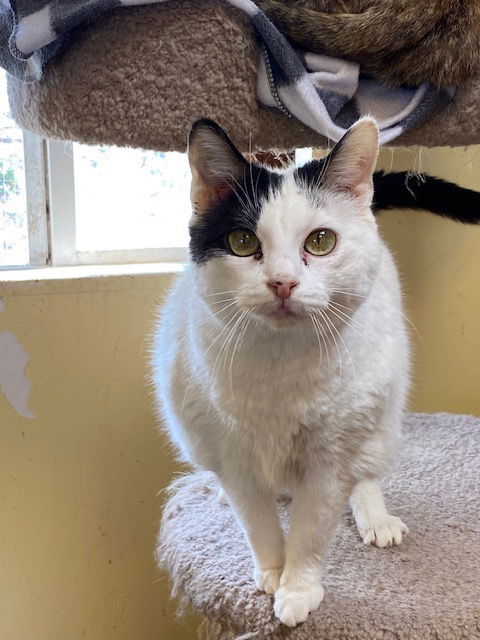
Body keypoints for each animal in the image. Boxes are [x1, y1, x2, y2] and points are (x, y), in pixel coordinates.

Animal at [152, 117, 478, 628]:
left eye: (320, 241)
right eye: (242, 243)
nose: (282, 282)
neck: (281, 366)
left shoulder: (330, 463)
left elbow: (310, 530)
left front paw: (298, 589)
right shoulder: (234, 455)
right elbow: (258, 521)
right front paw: (271, 572)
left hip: (380, 412)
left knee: (366, 470)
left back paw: (374, 515)